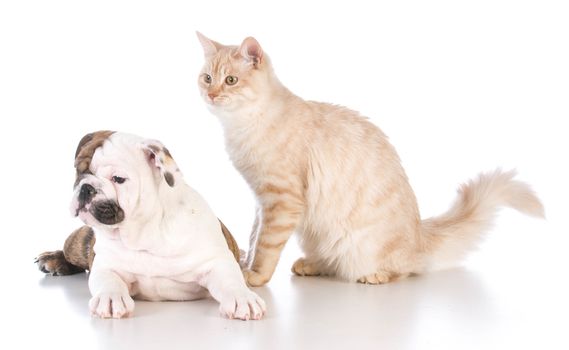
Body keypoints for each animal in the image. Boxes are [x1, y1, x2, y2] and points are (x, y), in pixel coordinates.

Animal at [36, 131, 266, 320]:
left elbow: (231, 281)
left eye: (118, 179)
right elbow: (108, 281)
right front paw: (110, 299)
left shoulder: (215, 261)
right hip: (77, 243)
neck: (143, 230)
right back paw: (54, 260)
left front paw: (243, 298)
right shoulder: (105, 265)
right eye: (78, 171)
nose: (86, 188)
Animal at [195, 31, 540, 286]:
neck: (243, 126)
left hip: (360, 245)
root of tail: (420, 234)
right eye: (207, 78)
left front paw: (254, 276)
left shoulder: (281, 200)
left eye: (230, 81)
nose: (211, 95)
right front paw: (243, 262)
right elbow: (254, 237)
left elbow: (265, 246)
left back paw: (375, 276)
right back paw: (308, 265)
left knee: (405, 270)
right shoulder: (262, 201)